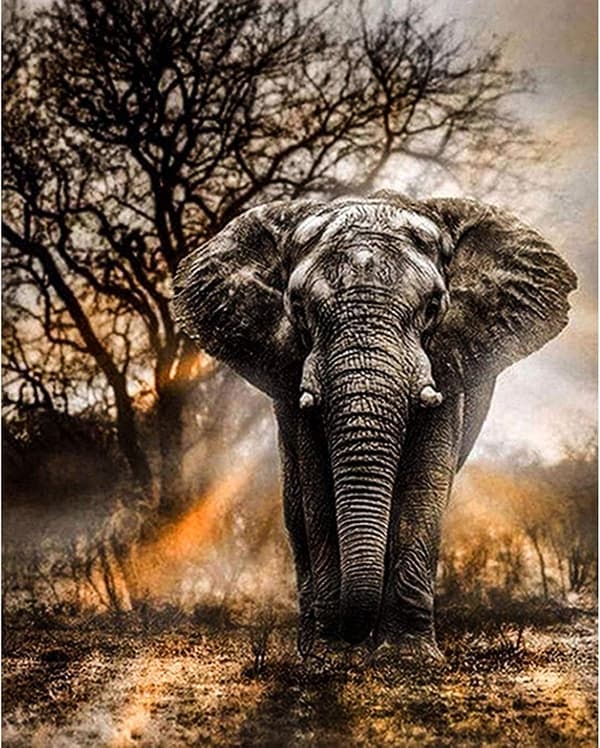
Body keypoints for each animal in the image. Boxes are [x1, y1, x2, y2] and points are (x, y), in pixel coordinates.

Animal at [172, 190, 576, 662]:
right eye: (298, 309)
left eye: (433, 306)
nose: (350, 635)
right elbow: (317, 489)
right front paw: (329, 657)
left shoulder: (446, 362)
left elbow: (424, 485)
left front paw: (408, 659)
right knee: (295, 507)